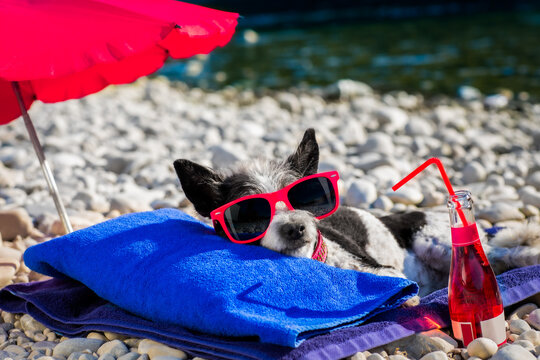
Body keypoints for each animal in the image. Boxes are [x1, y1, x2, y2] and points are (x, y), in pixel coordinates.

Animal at [173, 128, 540, 296]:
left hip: (436, 242)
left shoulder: (389, 274)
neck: (319, 262)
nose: (296, 228)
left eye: (299, 199)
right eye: (250, 215)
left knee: (502, 255)